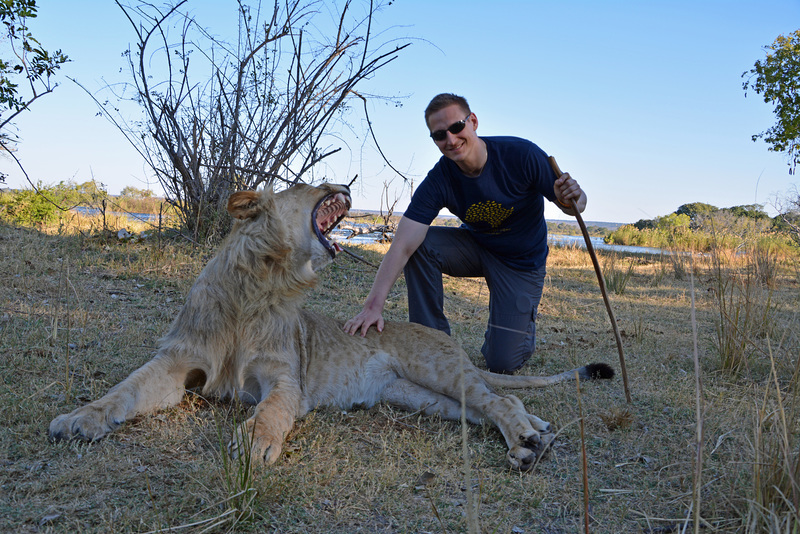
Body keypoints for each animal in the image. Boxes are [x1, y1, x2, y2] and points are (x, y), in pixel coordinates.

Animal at [50, 184, 612, 474]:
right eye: (302, 185)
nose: (343, 184)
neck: (261, 286)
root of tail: (446, 338)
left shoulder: (285, 378)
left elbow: (271, 411)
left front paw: (254, 444)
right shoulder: (176, 362)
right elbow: (123, 391)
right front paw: (79, 419)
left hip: (439, 370)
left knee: (502, 398)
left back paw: (527, 442)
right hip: (421, 398)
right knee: (488, 407)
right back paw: (535, 436)